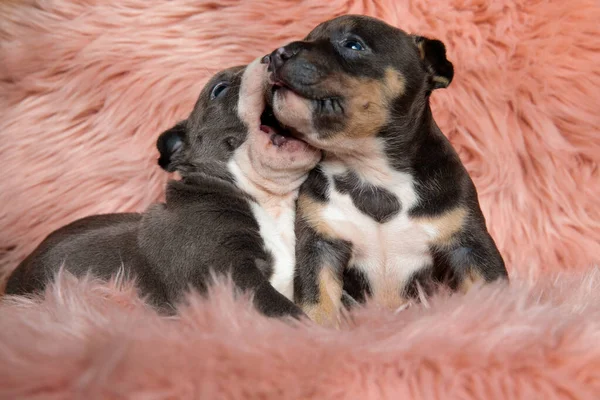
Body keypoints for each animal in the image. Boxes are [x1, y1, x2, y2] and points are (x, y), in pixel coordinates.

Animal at [262, 14, 506, 324]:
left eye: (353, 45)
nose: (274, 55)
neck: (370, 167)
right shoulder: (320, 247)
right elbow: (318, 302)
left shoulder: (469, 245)